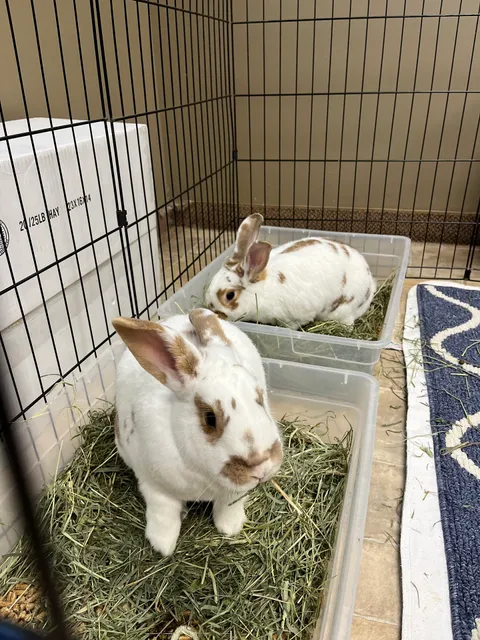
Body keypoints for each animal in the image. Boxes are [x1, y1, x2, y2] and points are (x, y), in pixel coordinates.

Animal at [112, 309, 283, 557]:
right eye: (210, 418)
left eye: (260, 398)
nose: (261, 466)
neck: (201, 473)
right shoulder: (154, 486)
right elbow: (163, 515)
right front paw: (162, 546)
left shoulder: (232, 493)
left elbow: (228, 507)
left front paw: (231, 528)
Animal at [205, 213, 376, 329]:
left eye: (230, 295)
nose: (214, 312)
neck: (262, 288)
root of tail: (370, 283)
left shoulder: (293, 319)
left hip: (343, 311)